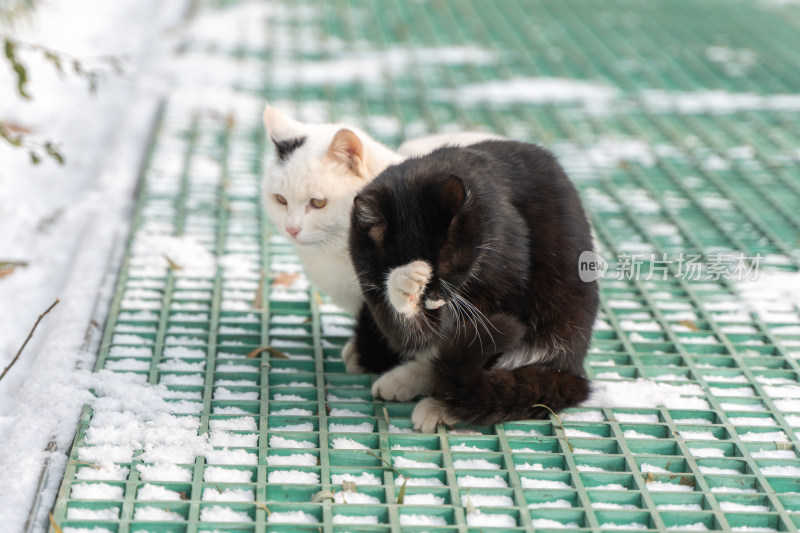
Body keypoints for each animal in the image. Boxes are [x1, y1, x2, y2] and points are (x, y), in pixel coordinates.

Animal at [346, 139, 596, 430]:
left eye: (449, 267)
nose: (431, 298)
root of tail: (573, 367)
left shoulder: (508, 271)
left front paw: (442, 405)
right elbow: (412, 333)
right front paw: (406, 281)